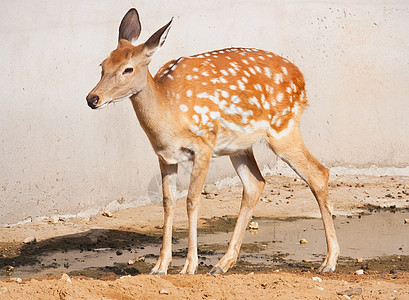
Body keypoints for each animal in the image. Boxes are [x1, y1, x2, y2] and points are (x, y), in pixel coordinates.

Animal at [85, 8, 338, 276]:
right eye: (102, 65)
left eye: (128, 69)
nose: (92, 98)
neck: (169, 116)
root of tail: (302, 79)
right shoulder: (165, 156)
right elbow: (167, 202)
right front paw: (160, 266)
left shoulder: (203, 146)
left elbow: (192, 200)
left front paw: (189, 266)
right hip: (240, 146)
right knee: (255, 184)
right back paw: (223, 263)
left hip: (283, 129)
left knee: (318, 173)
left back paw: (329, 261)